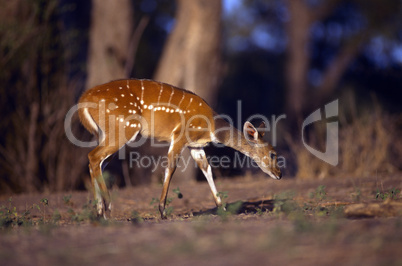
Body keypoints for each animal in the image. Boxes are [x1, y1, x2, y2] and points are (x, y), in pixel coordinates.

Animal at [77, 78, 282, 218]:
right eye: (273, 154)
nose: (279, 174)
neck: (212, 127)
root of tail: (83, 99)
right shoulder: (180, 136)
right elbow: (171, 167)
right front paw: (162, 211)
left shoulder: (195, 146)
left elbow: (206, 169)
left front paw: (222, 207)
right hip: (125, 128)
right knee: (93, 156)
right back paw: (108, 208)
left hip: (107, 133)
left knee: (97, 162)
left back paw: (99, 211)